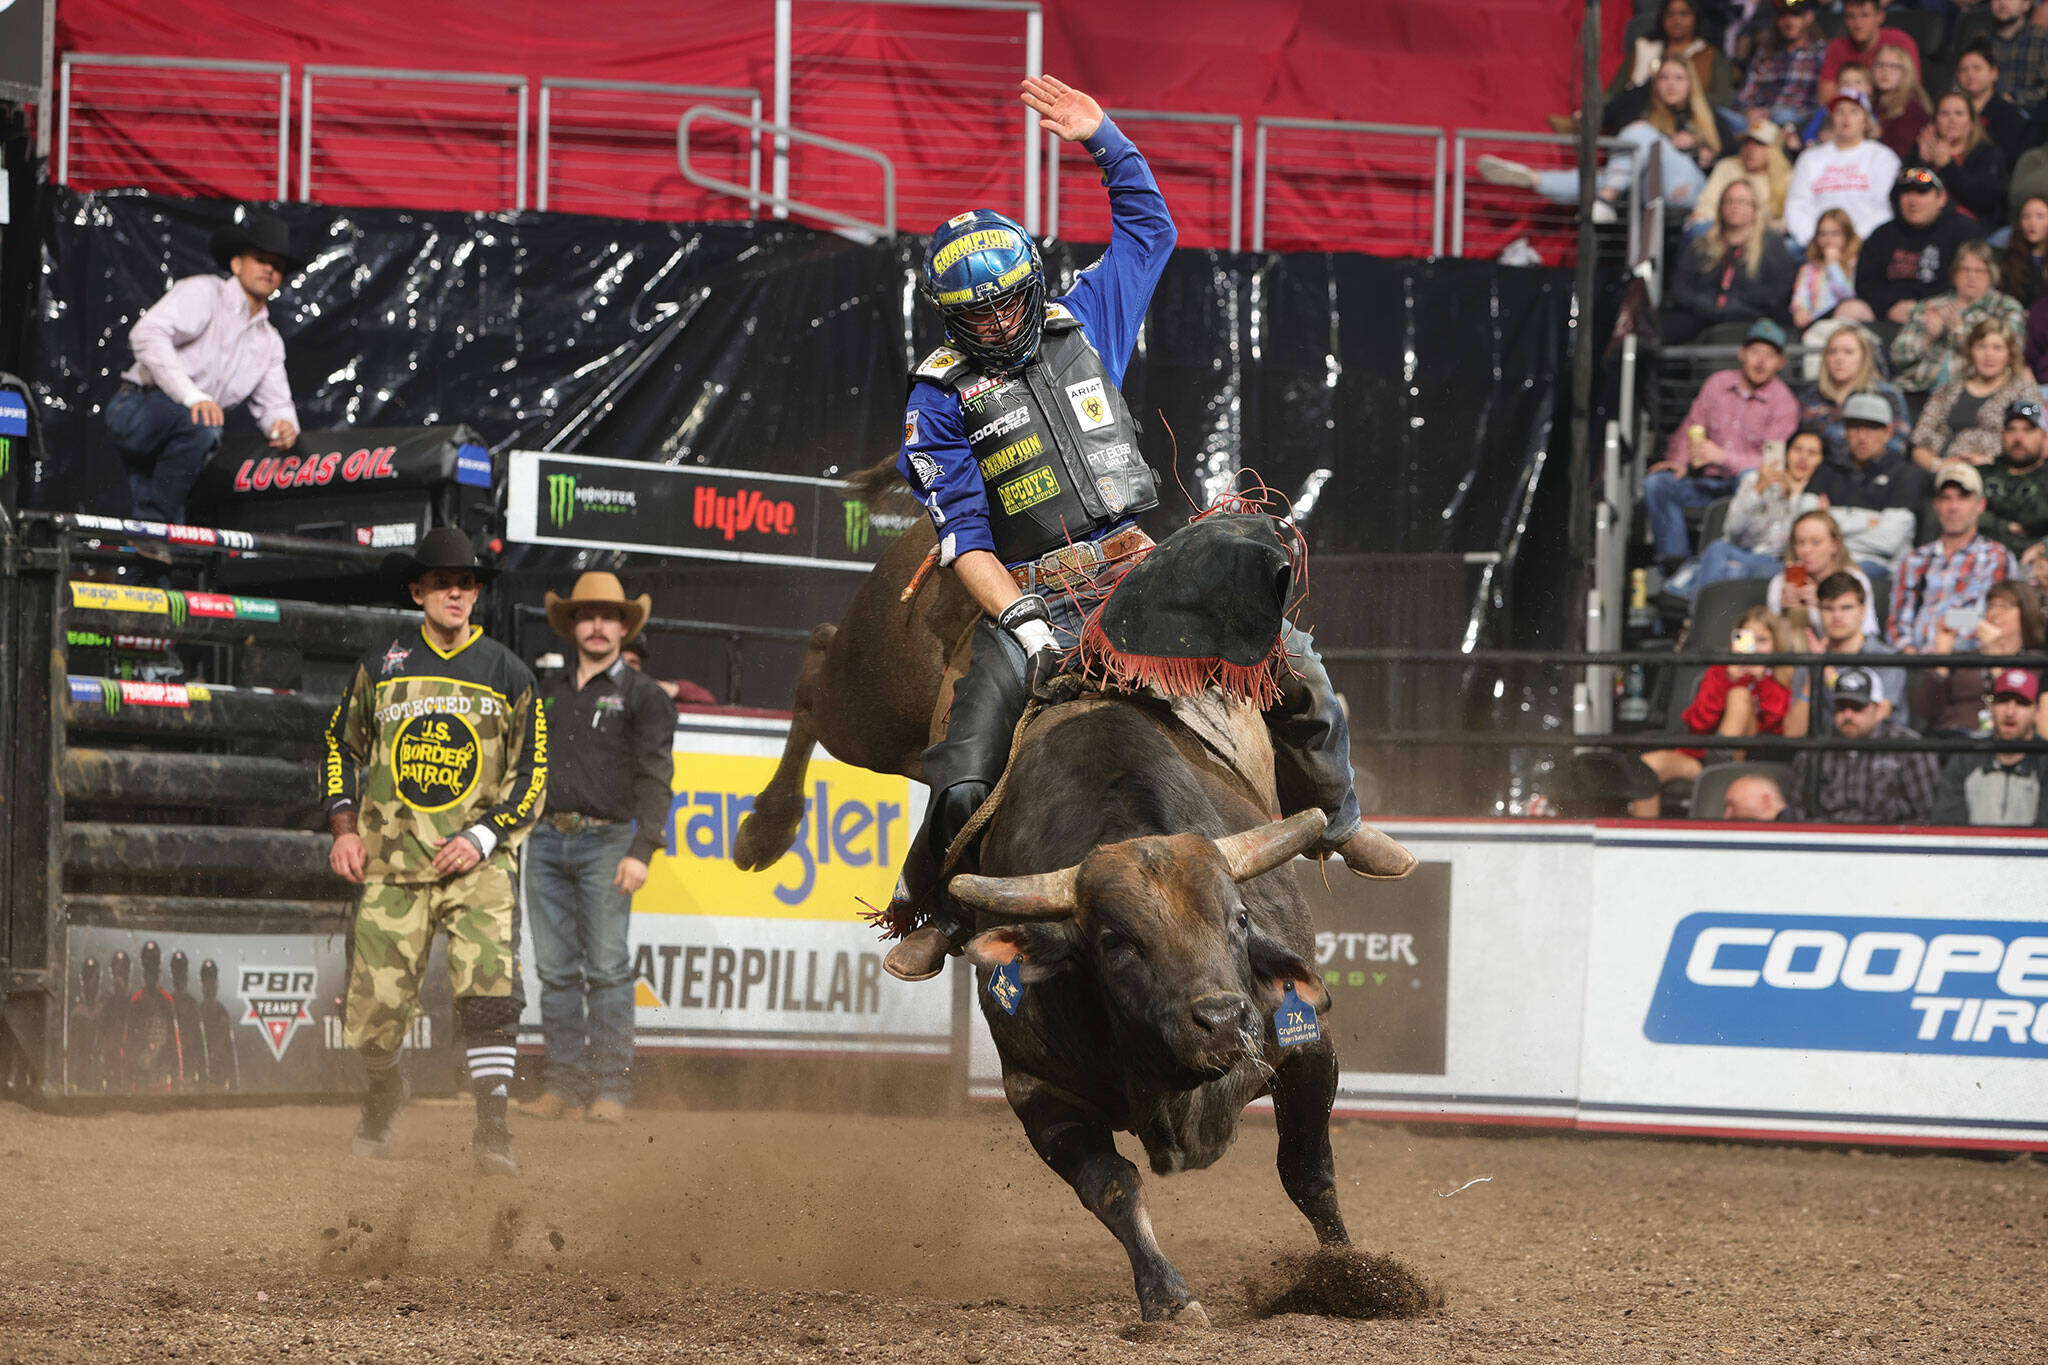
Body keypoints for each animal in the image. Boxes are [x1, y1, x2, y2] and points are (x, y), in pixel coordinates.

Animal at [737, 478, 1425, 1326]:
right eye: (1114, 942)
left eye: (1238, 918)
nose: (1222, 1018)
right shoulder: (1038, 1089)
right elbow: (1114, 1186)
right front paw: (1168, 1297)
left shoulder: (1305, 1040)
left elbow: (1307, 1169)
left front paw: (1351, 1279)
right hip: (870, 692)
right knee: (818, 663)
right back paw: (765, 831)